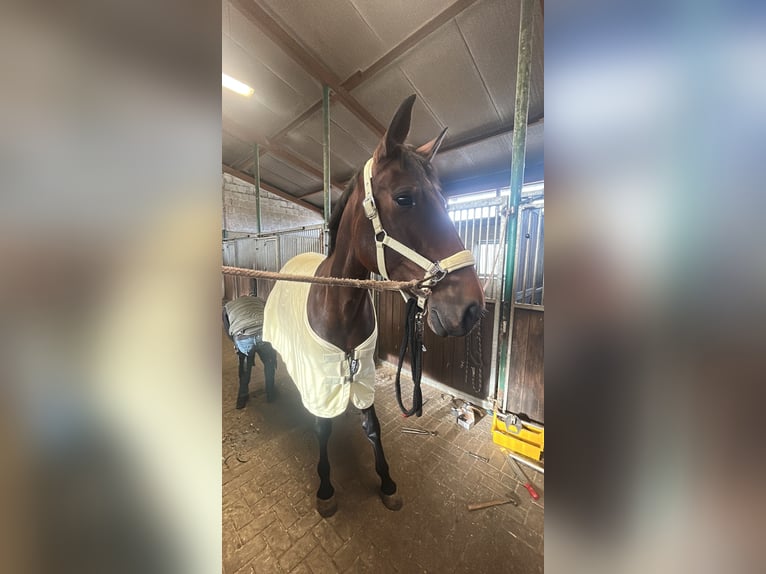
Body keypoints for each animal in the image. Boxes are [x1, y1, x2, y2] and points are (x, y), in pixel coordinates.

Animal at [262, 94, 485, 517]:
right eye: (404, 197)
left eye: (446, 201)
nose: (470, 309)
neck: (340, 307)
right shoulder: (322, 378)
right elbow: (323, 426)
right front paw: (326, 489)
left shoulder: (361, 372)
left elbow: (373, 426)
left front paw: (387, 481)